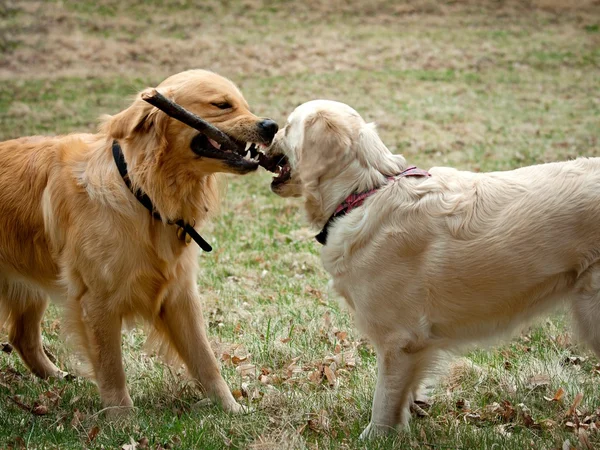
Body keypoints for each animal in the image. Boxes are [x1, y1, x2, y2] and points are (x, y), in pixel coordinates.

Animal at [0, 69, 278, 414]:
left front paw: (229, 408)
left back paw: (58, 377)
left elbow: (205, 359)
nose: (271, 126)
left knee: (22, 336)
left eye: (244, 105)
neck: (143, 190)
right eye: (222, 105)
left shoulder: (180, 294)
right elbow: (111, 368)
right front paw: (122, 418)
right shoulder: (97, 302)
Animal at [266, 99, 600, 440]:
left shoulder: (398, 340)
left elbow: (384, 400)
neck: (363, 192)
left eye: (289, 126)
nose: (270, 129)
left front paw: (375, 437)